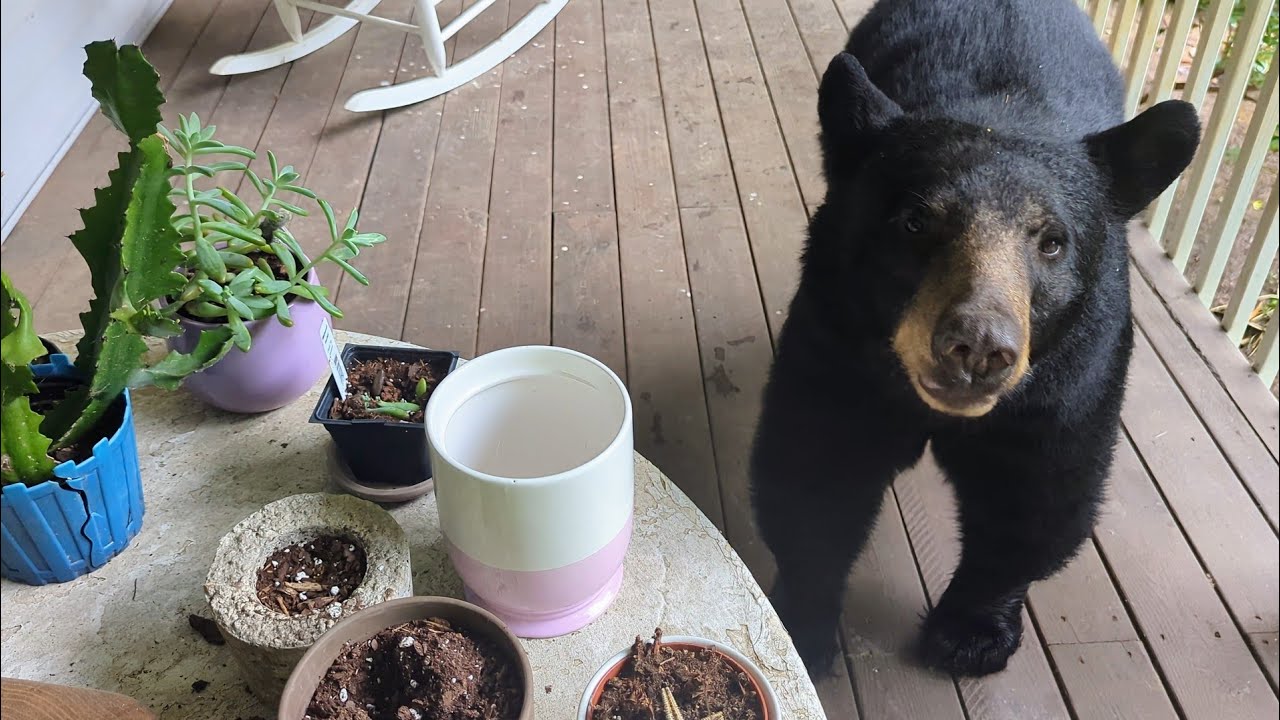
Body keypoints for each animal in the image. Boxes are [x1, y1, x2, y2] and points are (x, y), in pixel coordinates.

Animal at [749, 0, 1201, 678]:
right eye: (915, 222)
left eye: (1052, 241)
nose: (979, 347)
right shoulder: (840, 342)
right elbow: (817, 467)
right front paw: (802, 623)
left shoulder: (1067, 378)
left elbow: (1035, 495)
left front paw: (971, 633)